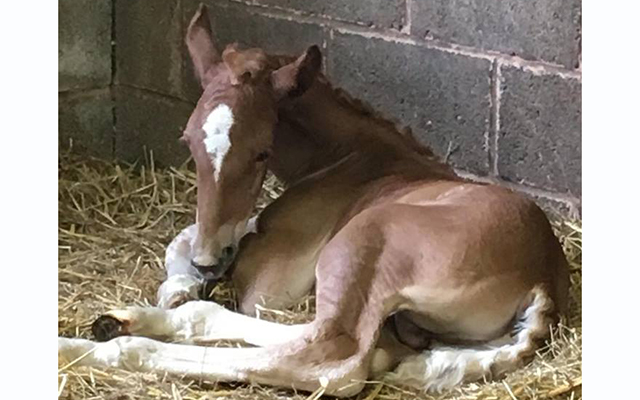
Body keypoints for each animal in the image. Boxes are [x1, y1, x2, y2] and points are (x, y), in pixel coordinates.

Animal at [58, 4, 569, 397]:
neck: (350, 156)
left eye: (261, 151)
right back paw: (122, 321)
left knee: (331, 361)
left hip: (361, 244)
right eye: (188, 141)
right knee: (359, 346)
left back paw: (90, 347)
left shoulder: (273, 283)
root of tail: (543, 278)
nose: (209, 261)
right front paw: (181, 287)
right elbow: (188, 244)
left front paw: (183, 284)